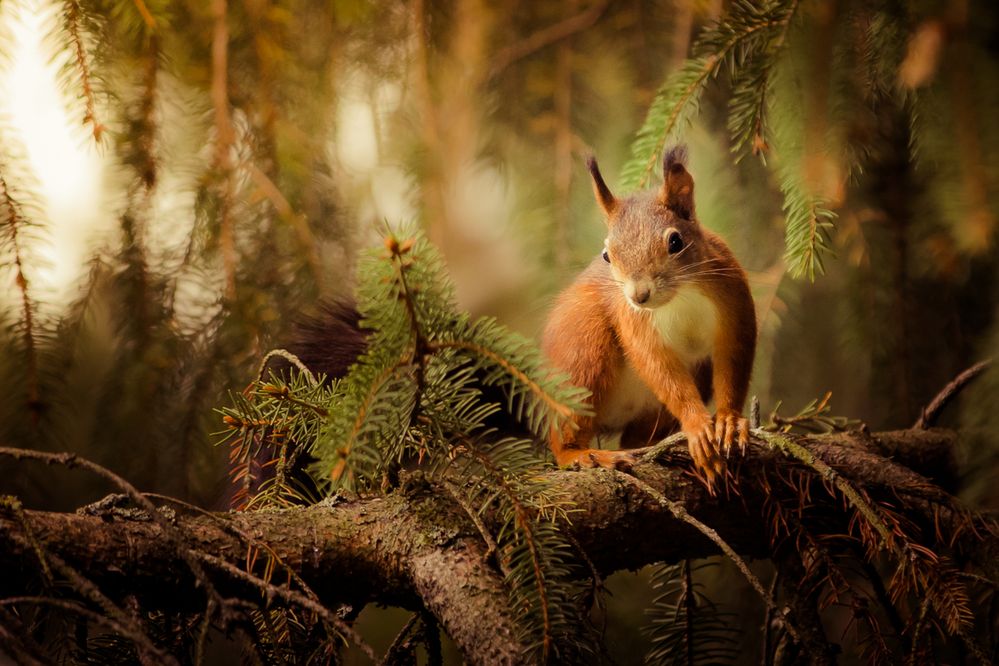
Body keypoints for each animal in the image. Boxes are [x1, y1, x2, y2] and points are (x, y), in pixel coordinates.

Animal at [544, 145, 752, 482]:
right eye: (606, 255)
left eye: (675, 241)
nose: (638, 295)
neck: (679, 297)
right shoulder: (634, 321)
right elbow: (659, 367)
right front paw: (696, 426)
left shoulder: (733, 300)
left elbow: (733, 360)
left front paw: (729, 421)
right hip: (582, 352)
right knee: (566, 435)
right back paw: (584, 454)